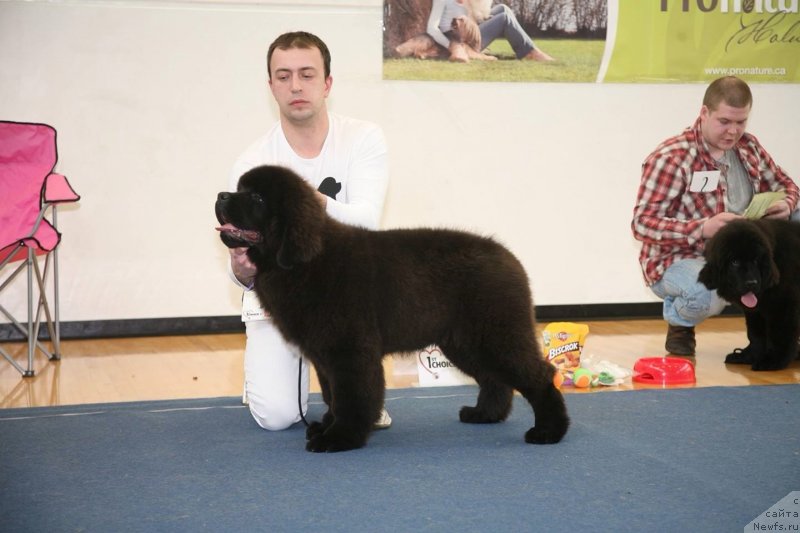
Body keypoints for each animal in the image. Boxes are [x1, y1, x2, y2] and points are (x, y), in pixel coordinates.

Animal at [217, 164, 568, 450]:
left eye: (257, 198)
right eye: (239, 188)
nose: (221, 195)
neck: (306, 261)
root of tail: (508, 257)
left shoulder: (349, 350)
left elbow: (351, 395)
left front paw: (339, 438)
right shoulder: (324, 354)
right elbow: (332, 395)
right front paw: (326, 427)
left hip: (495, 335)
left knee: (539, 375)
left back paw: (549, 431)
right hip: (465, 342)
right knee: (494, 378)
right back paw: (484, 414)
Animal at [696, 217, 800, 370]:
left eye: (756, 260)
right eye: (734, 262)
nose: (752, 283)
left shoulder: (783, 306)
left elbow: (779, 335)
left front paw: (773, 361)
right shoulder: (755, 311)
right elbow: (755, 334)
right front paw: (749, 356)